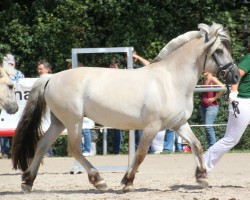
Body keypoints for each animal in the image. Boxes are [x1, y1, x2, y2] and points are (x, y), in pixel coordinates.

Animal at [12, 22, 239, 193]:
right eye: (219, 51)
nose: (236, 75)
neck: (171, 80)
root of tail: (51, 77)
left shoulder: (178, 124)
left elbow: (197, 145)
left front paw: (202, 178)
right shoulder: (152, 127)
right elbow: (140, 154)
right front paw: (127, 182)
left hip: (59, 122)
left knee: (42, 144)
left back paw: (28, 182)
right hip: (74, 121)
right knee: (74, 149)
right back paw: (98, 180)